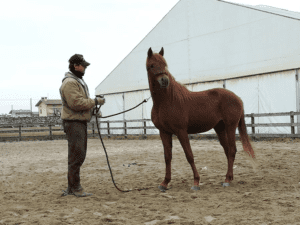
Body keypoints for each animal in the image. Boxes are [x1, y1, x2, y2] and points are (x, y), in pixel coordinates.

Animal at [146, 47, 254, 192]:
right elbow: (167, 157)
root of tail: (238, 98)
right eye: (152, 65)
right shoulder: (164, 132)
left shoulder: (181, 131)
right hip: (220, 128)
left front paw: (196, 182)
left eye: (165, 64)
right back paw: (229, 178)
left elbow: (189, 155)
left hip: (231, 126)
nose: (164, 80)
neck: (167, 101)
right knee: (227, 150)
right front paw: (165, 183)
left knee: (232, 150)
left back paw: (227, 180)